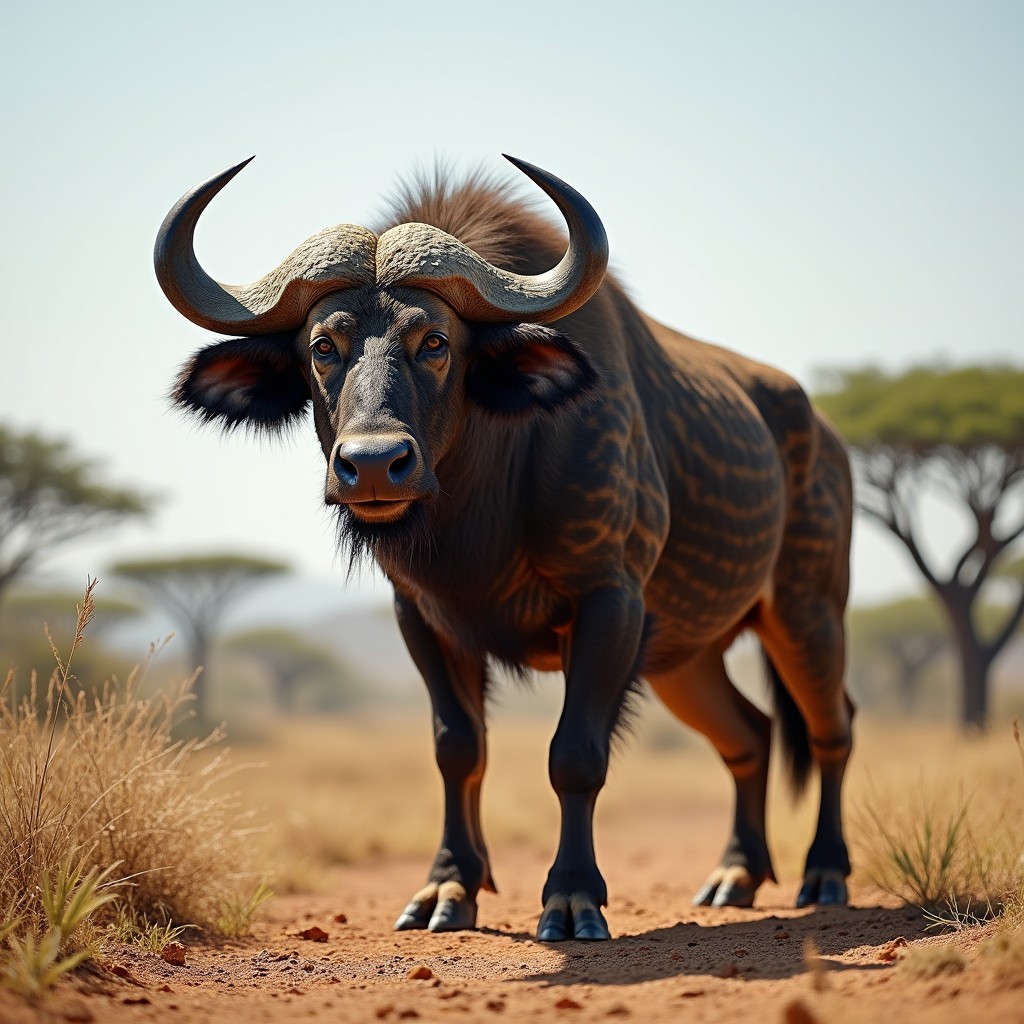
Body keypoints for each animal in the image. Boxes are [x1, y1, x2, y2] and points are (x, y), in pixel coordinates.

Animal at [156, 155, 854, 941]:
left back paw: (824, 873)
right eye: (322, 348)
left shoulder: (609, 602)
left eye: (435, 341)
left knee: (832, 728)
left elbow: (574, 754)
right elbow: (458, 747)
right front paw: (449, 888)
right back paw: (735, 875)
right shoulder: (424, 617)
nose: (373, 465)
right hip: (688, 657)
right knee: (751, 735)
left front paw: (572, 898)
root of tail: (823, 435)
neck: (476, 518)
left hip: (806, 612)